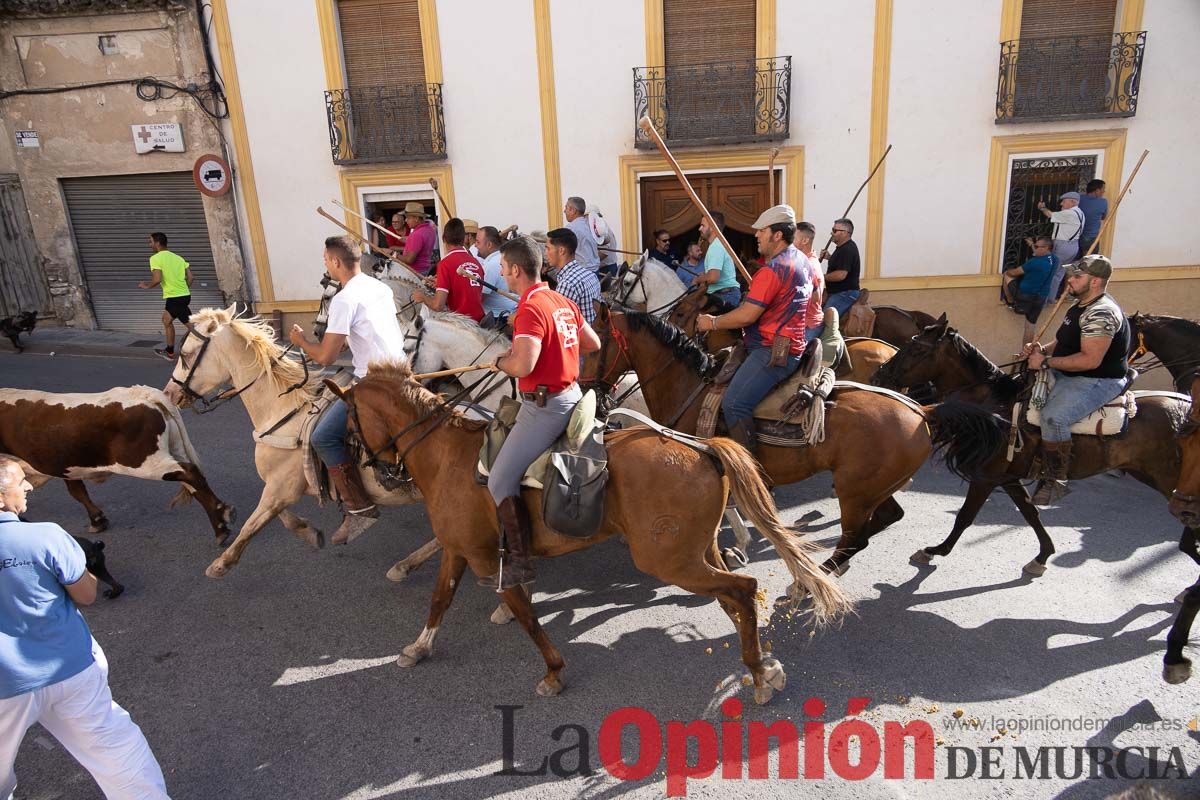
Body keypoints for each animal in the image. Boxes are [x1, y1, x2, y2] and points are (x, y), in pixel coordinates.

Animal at [0, 386, 236, 542]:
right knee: (194, 480)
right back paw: (221, 520)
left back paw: (220, 523)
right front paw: (98, 519)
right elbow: (78, 492)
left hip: (145, 462)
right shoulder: (67, 466)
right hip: (173, 449)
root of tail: (143, 393)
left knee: (190, 473)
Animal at [333, 359, 849, 705]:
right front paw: (419, 647)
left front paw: (553, 670)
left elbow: (524, 613)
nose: (377, 472)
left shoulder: (485, 558)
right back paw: (763, 663)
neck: (446, 454)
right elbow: (440, 599)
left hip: (670, 561)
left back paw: (759, 673)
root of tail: (702, 447)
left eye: (350, 420)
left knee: (742, 589)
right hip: (698, 552)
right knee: (733, 598)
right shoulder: (459, 551)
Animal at [590, 303, 936, 573]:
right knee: (884, 520)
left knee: (855, 537)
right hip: (871, 488)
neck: (690, 387)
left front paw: (736, 548)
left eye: (593, 347)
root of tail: (921, 411)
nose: (592, 393)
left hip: (855, 493)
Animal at [873, 316, 1200, 582]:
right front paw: (1042, 556)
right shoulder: (1008, 477)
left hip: (1169, 480)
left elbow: (965, 516)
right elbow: (1030, 513)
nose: (879, 375)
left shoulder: (985, 477)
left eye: (916, 350)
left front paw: (935, 550)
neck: (996, 406)